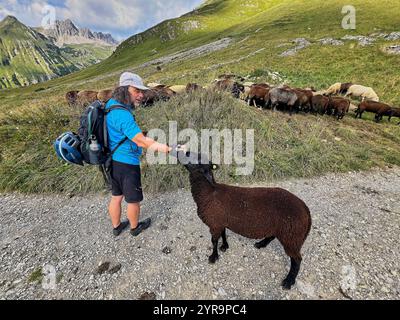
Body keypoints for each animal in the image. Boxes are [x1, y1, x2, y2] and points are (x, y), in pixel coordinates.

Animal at [178, 152, 312, 290]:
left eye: (197, 159)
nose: (180, 151)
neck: (208, 193)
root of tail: (305, 208)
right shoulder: (221, 221)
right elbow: (223, 234)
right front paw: (224, 246)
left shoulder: (215, 223)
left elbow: (214, 241)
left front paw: (213, 257)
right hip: (283, 230)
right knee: (273, 236)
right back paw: (261, 244)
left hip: (291, 235)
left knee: (297, 260)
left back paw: (289, 281)